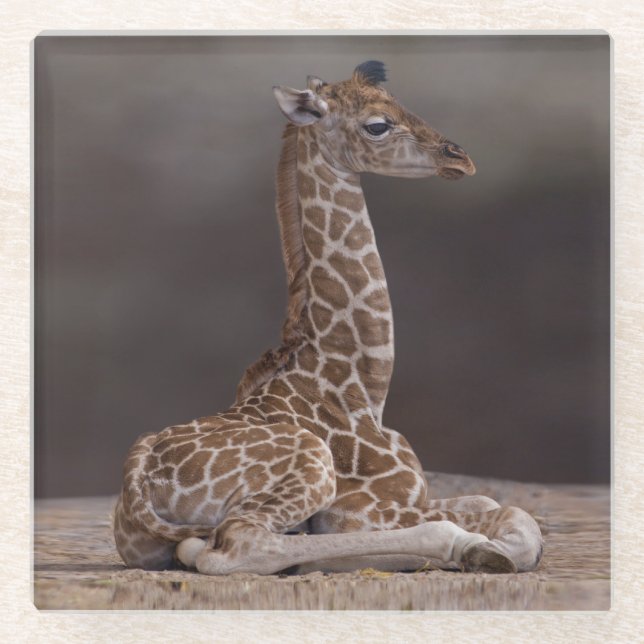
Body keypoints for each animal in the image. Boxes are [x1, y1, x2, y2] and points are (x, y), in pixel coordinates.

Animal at [113, 61, 543, 576]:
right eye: (378, 125)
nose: (459, 158)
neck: (363, 387)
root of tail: (136, 480)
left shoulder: (411, 497)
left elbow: (498, 506)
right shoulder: (363, 509)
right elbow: (512, 517)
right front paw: (485, 549)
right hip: (311, 463)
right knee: (238, 544)